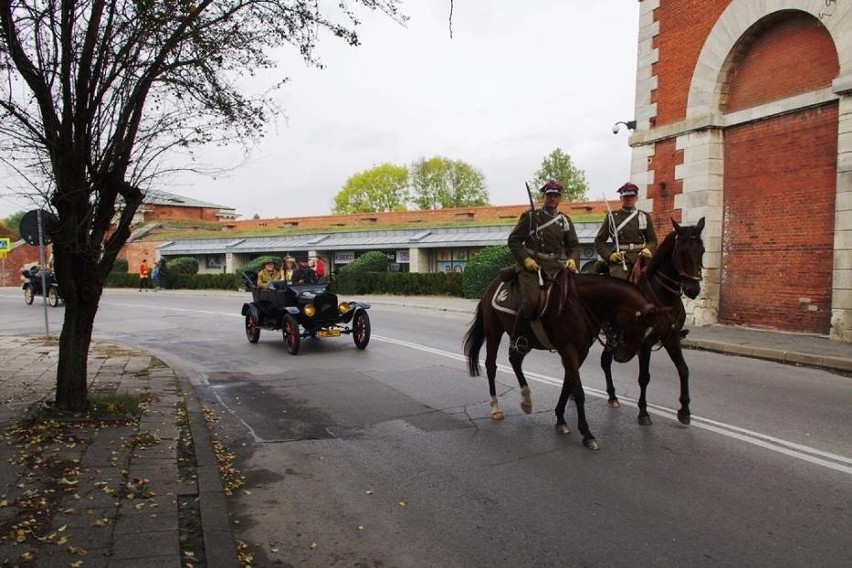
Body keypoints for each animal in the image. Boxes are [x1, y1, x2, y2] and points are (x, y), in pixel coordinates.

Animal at [462, 268, 668, 450]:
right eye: (640, 327)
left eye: (650, 332)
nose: (622, 355)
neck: (580, 303)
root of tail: (492, 285)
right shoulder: (568, 350)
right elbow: (578, 391)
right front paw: (587, 434)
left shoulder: (581, 351)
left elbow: (568, 383)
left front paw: (560, 419)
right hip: (493, 330)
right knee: (491, 366)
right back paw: (496, 408)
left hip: (525, 341)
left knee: (515, 361)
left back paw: (527, 400)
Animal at [604, 217, 708, 426]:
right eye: (682, 251)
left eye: (702, 250)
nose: (693, 289)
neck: (664, 299)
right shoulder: (645, 342)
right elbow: (644, 377)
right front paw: (643, 412)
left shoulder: (671, 338)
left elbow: (683, 369)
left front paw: (684, 410)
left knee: (605, 361)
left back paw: (612, 396)